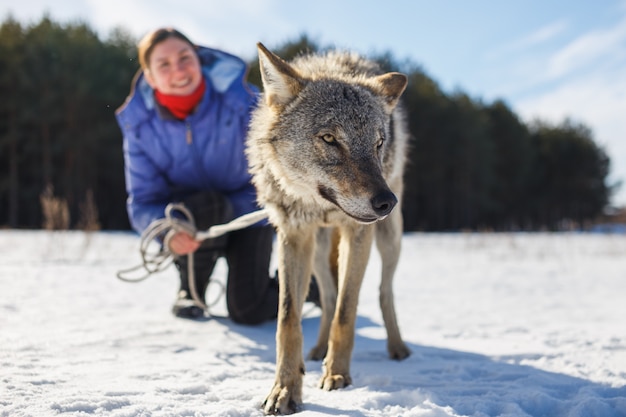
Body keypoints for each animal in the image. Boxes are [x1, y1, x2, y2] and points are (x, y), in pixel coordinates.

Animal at [246, 42, 412, 412]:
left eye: (378, 143)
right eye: (330, 138)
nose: (386, 202)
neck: (320, 206)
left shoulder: (359, 234)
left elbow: (345, 314)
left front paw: (337, 376)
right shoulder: (293, 235)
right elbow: (288, 321)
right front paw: (284, 389)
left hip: (390, 242)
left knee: (384, 291)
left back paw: (397, 348)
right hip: (319, 254)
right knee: (328, 293)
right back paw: (318, 349)